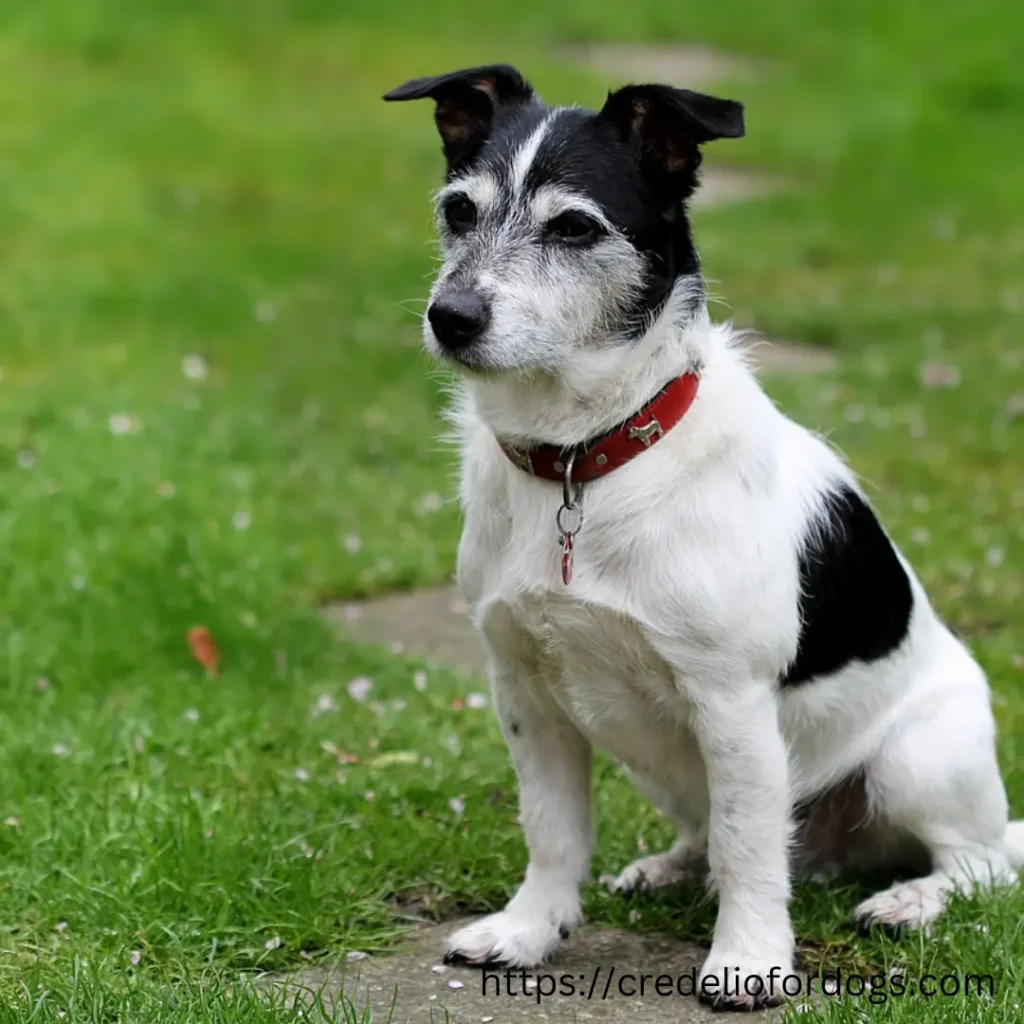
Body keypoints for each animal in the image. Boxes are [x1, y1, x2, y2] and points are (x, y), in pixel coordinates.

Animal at [385, 66, 1024, 1015]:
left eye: (575, 227)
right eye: (458, 210)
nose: (450, 316)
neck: (584, 459)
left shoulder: (733, 702)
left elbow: (753, 847)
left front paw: (749, 961)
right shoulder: (526, 692)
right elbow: (554, 830)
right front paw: (530, 929)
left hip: (916, 761)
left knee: (975, 864)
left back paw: (907, 900)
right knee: (718, 836)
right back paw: (673, 866)